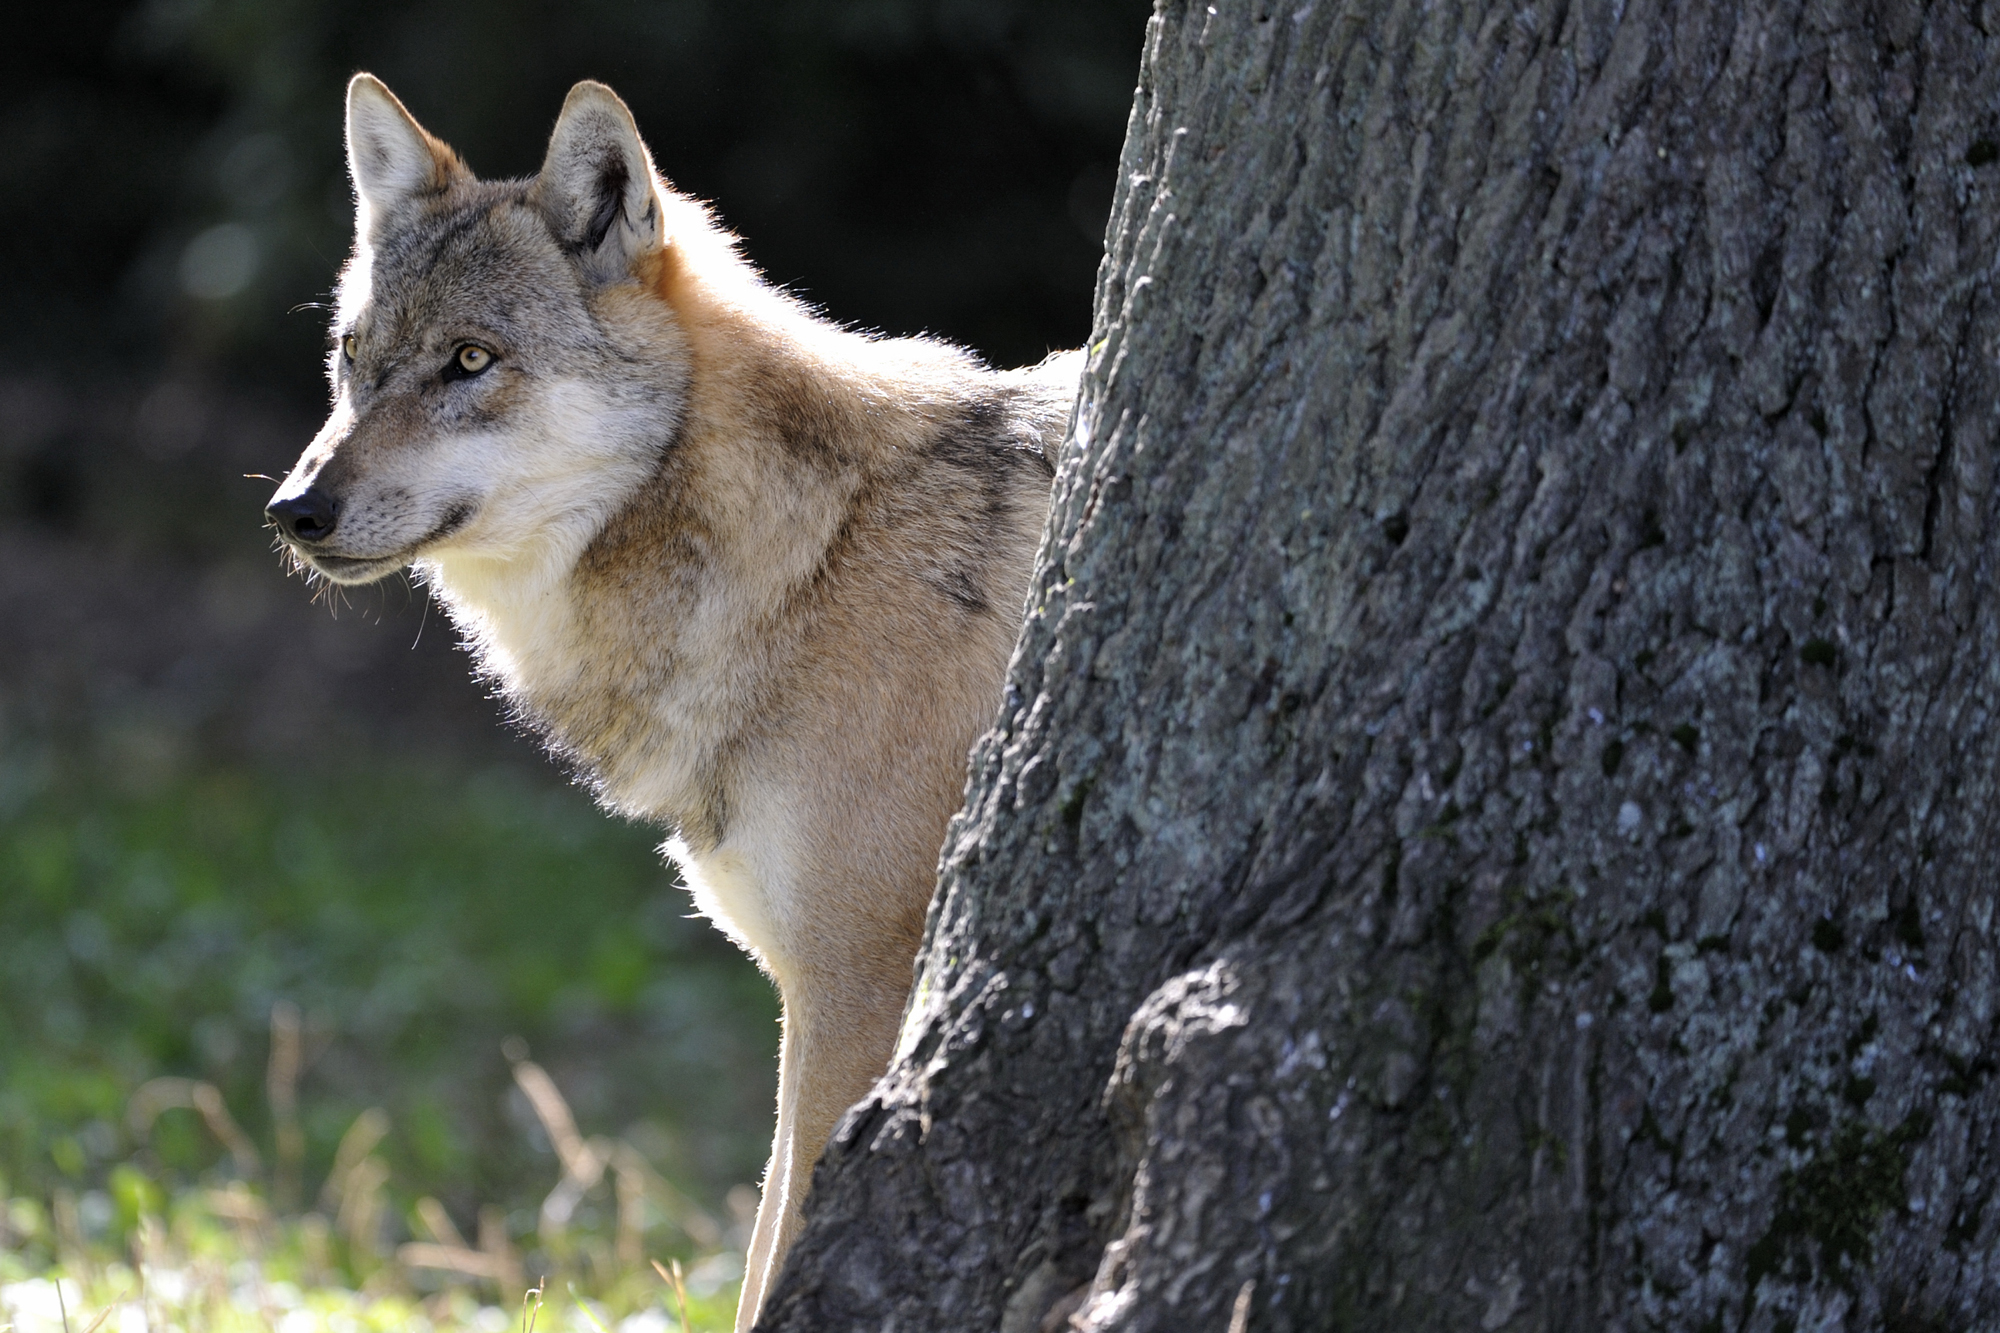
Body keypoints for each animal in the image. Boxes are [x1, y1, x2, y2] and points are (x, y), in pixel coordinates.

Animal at [265, 74, 1078, 1327]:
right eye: (353, 358)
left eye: (469, 360)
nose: (294, 509)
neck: (814, 557)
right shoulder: (815, 992)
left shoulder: (852, 993)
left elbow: (778, 1254)